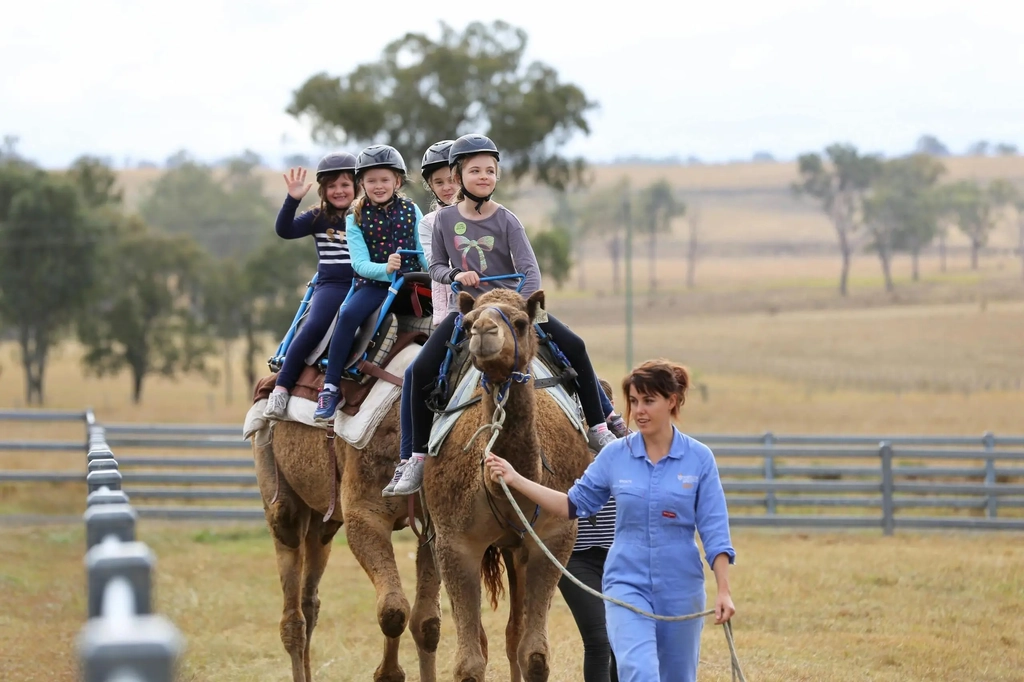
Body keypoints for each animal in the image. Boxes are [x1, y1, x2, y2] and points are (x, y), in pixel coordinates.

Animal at [252, 403, 444, 679]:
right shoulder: (363, 513)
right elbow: (393, 611)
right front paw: (387, 674)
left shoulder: (434, 523)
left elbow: (427, 623)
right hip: (277, 490)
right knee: (292, 616)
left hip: (323, 519)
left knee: (309, 601)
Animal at [417, 288, 593, 679]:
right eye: (467, 323)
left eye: (521, 322)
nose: (483, 329)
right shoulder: (454, 543)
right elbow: (469, 661)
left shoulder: (553, 538)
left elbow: (535, 654)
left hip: (518, 549)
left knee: (515, 633)